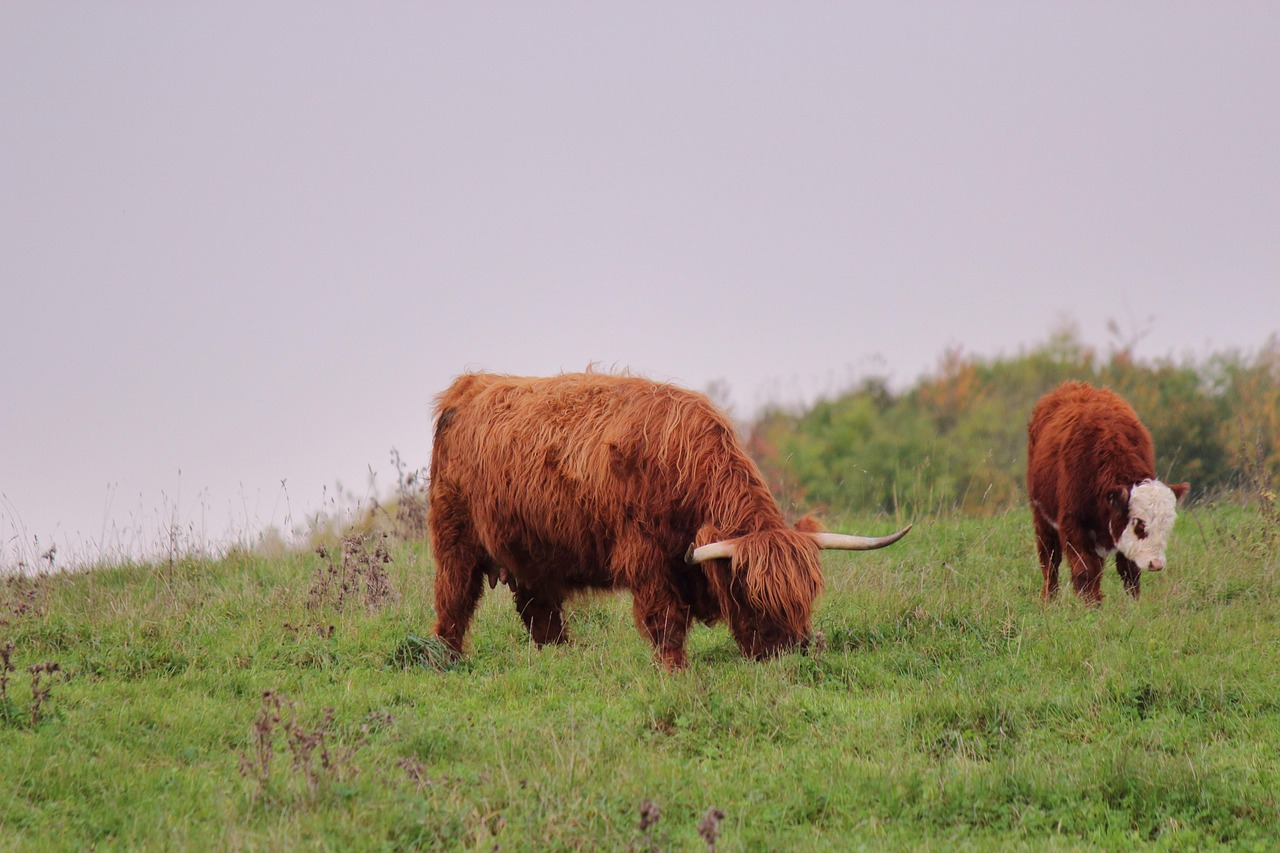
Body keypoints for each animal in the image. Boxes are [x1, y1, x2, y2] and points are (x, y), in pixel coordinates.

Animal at [428, 371, 911, 670]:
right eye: (751, 594)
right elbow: (665, 622)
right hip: (455, 542)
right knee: (453, 604)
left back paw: (561, 659)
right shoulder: (646, 558)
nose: (789, 652)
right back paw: (449, 661)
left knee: (541, 614)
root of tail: (469, 385)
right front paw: (675, 670)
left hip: (533, 556)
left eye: (806, 596)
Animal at [1027, 381, 1190, 603]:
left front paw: (1133, 604)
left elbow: (1129, 570)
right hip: (1042, 518)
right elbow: (1085, 570)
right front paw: (1089, 606)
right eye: (1139, 525)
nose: (1156, 564)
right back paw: (1049, 600)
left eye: (1167, 525)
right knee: (1050, 560)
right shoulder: (1073, 526)